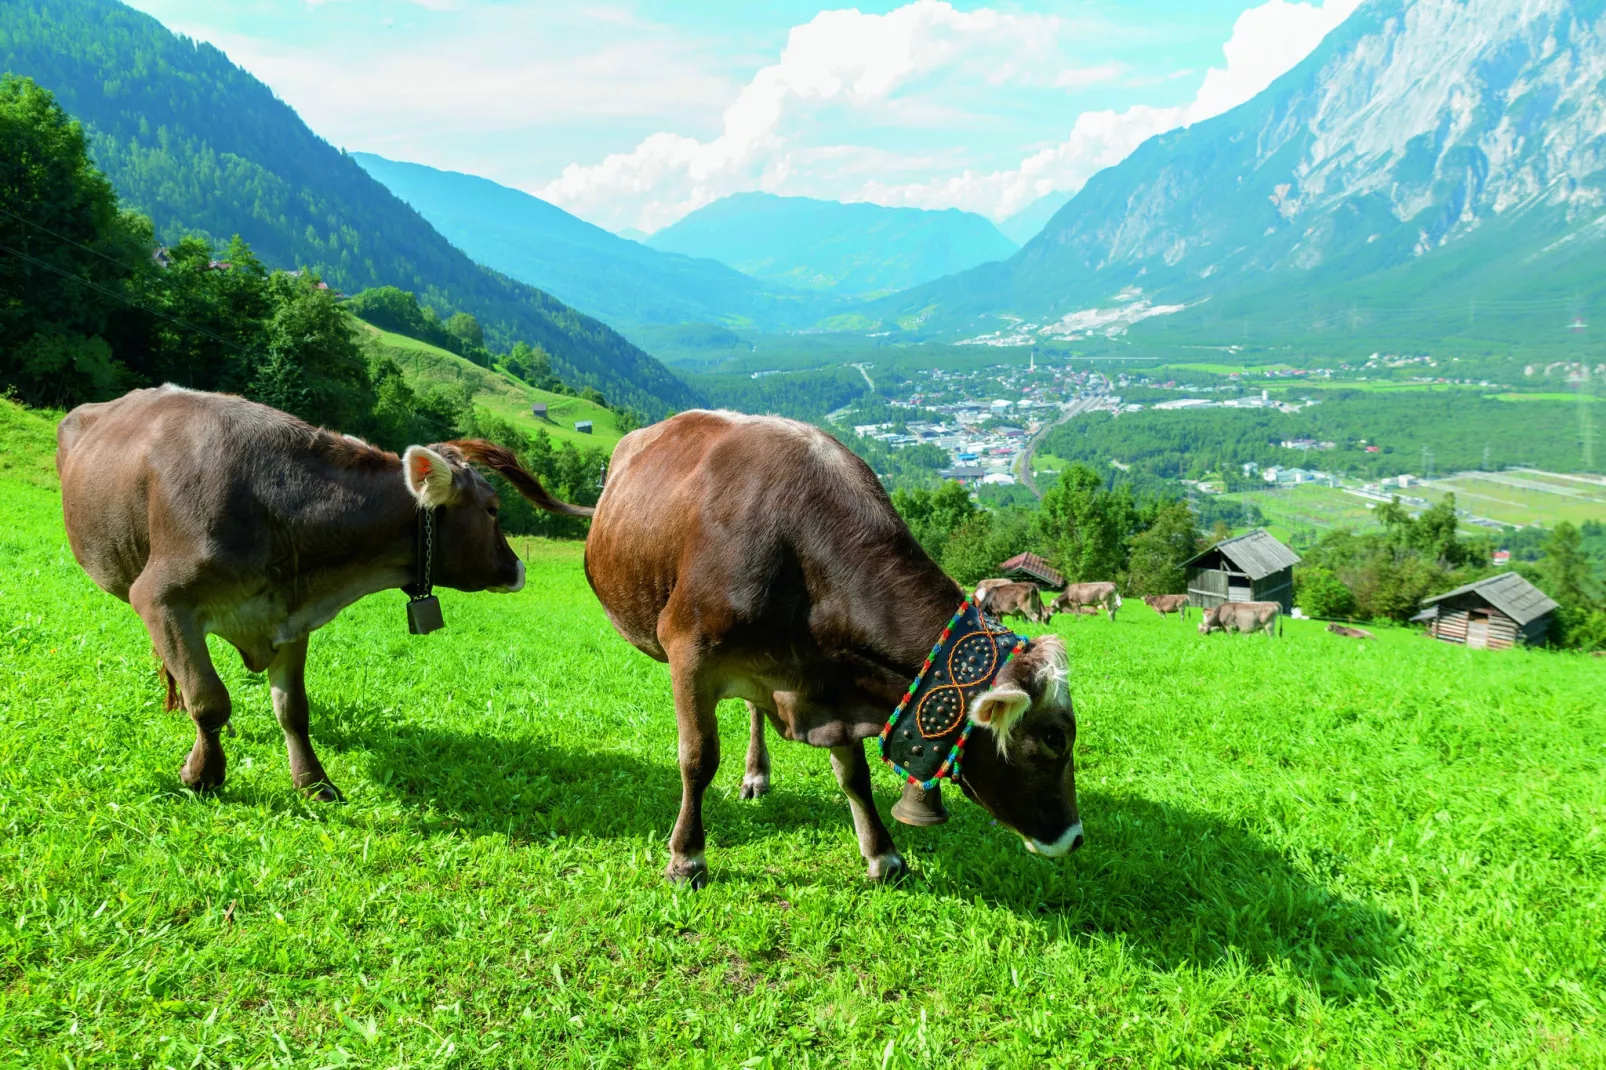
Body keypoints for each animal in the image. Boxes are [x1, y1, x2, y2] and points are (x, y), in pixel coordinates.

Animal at [58, 380, 597, 790]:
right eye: (493, 510)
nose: (518, 569)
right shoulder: (161, 598)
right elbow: (209, 700)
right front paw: (204, 774)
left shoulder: (289, 614)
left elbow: (293, 709)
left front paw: (314, 781)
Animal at [584, 408, 1085, 880]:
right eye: (1055, 737)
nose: (1075, 838)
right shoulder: (690, 651)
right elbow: (698, 758)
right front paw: (687, 857)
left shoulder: (835, 677)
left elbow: (854, 775)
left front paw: (882, 854)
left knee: (752, 709)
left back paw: (757, 772)